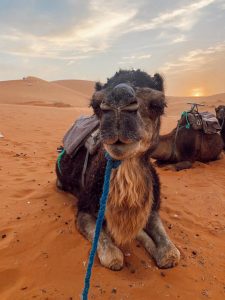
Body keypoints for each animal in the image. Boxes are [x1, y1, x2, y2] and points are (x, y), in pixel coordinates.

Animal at [56, 69, 181, 270]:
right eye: (95, 105)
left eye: (158, 105)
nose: (119, 98)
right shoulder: (85, 209)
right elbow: (113, 257)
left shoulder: (152, 207)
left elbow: (172, 253)